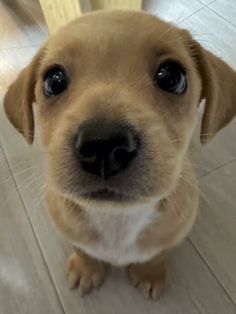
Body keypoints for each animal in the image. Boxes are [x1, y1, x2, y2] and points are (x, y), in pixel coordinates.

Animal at [3, 10, 236, 300]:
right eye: (53, 81)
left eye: (172, 77)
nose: (103, 144)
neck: (116, 219)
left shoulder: (173, 235)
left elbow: (156, 256)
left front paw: (149, 274)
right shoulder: (68, 229)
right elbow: (82, 249)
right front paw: (86, 268)